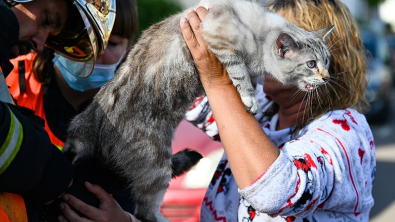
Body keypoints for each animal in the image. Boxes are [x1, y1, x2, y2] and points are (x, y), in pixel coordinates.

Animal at [62, 0, 334, 221]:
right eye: (311, 64)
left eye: (327, 61)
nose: (327, 77)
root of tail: (89, 124)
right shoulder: (221, 41)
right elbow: (240, 75)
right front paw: (250, 99)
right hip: (157, 167)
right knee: (145, 213)